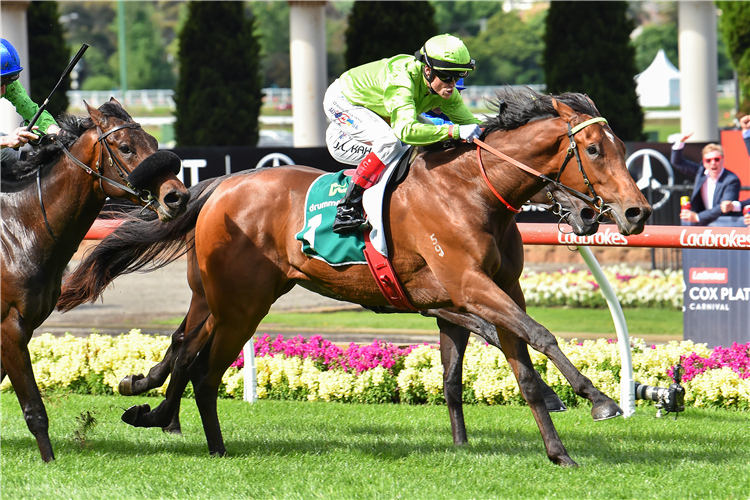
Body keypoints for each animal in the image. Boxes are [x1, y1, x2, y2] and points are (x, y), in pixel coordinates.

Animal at [0, 99, 188, 462]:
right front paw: (49, 460)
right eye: (126, 147)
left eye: (154, 143)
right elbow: (33, 407)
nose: (177, 197)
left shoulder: (24, 325)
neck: (20, 227)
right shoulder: (9, 325)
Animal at [58, 88, 652, 466]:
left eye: (625, 149)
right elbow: (543, 335)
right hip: (240, 303)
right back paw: (205, 440)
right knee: (202, 366)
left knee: (185, 346)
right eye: (593, 149)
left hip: (219, 298)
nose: (635, 213)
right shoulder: (468, 286)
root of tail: (222, 185)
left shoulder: (495, 292)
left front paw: (558, 450)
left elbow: (516, 369)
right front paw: (600, 399)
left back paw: (155, 409)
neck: (473, 191)